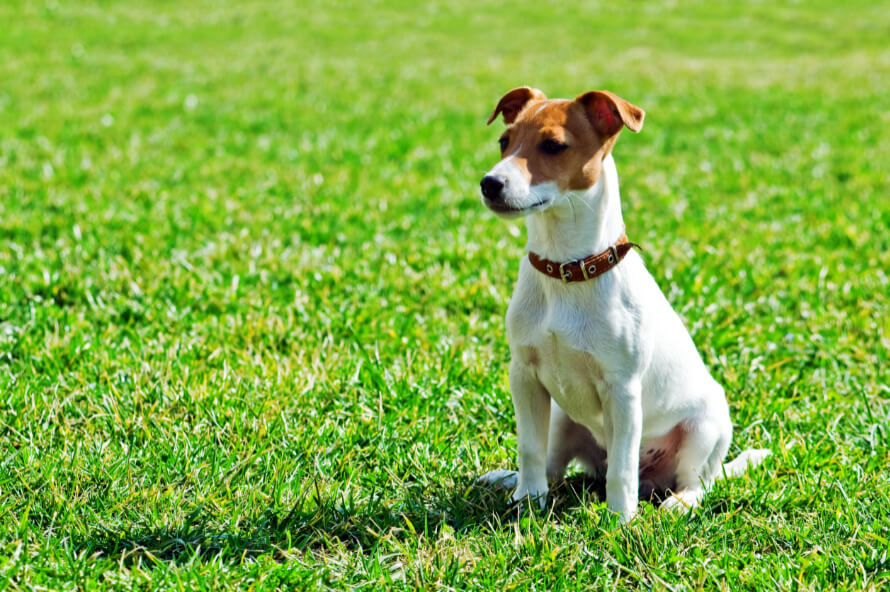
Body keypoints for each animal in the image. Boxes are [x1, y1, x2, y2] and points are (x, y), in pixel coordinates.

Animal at [476, 85, 768, 520]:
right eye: (504, 142)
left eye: (553, 145)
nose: (490, 183)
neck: (566, 269)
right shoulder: (524, 376)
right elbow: (529, 448)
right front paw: (526, 499)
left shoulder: (623, 390)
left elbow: (623, 465)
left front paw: (619, 519)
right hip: (562, 420)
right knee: (553, 465)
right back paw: (509, 480)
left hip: (704, 430)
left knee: (695, 481)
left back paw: (678, 502)